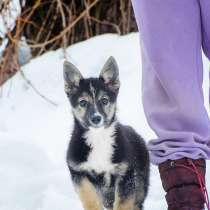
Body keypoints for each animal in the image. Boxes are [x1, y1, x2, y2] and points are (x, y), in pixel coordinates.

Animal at [64, 56, 149, 210]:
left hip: (139, 185)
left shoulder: (126, 175)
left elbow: (122, 204)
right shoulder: (79, 172)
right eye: (83, 103)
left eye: (104, 100)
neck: (98, 138)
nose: (96, 118)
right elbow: (90, 199)